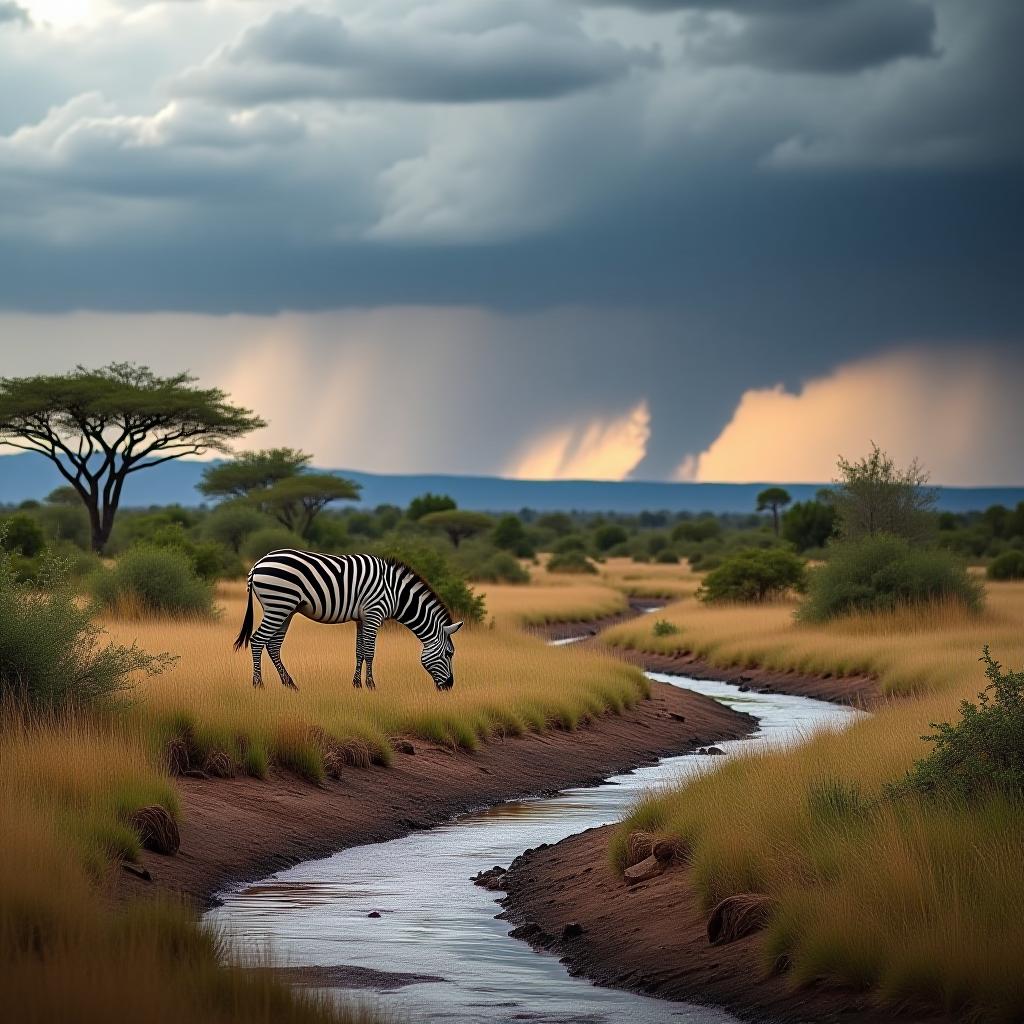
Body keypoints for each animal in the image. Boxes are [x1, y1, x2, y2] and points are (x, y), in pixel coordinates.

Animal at [234, 548, 462, 692]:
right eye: (449, 654)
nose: (449, 686)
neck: (396, 594)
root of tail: (258, 564)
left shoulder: (362, 618)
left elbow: (359, 651)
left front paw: (357, 685)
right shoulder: (374, 613)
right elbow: (370, 651)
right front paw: (371, 685)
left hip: (285, 609)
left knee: (273, 645)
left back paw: (290, 684)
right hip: (278, 604)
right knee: (257, 640)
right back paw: (258, 684)